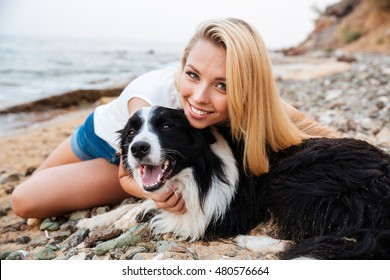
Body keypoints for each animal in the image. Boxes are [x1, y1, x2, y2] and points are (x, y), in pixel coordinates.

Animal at [77, 106, 388, 260]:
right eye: (131, 132)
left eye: (166, 126)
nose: (137, 149)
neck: (200, 168)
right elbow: (139, 202)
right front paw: (99, 220)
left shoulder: (210, 215)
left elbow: (165, 216)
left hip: (293, 179)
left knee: (324, 238)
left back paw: (253, 241)